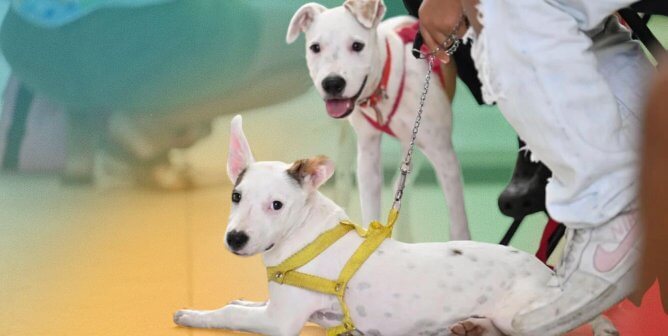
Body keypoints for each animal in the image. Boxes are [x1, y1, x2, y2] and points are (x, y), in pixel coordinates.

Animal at [174, 116, 620, 336]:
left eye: (277, 205)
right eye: (236, 197)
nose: (235, 239)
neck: (305, 236)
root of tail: (550, 275)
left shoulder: (279, 321)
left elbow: (227, 315)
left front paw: (192, 316)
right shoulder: (285, 308)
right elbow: (241, 305)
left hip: (524, 316)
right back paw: (469, 325)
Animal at [288, 0, 470, 239]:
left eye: (357, 46)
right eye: (315, 48)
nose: (332, 83)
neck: (383, 87)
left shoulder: (444, 156)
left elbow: (458, 220)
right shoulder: (368, 154)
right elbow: (370, 204)